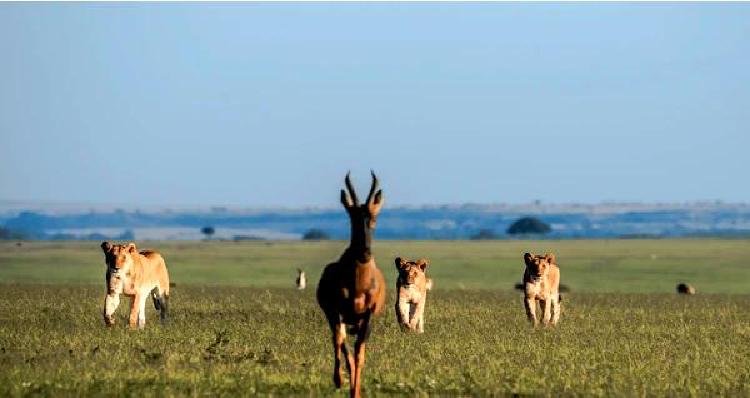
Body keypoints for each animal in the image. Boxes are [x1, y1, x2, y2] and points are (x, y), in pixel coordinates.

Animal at [318, 171, 388, 398]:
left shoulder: (367, 317)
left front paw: (355, 391)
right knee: (340, 342)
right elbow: (340, 343)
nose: (364, 254)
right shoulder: (336, 313)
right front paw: (338, 380)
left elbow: (359, 356)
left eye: (373, 217)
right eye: (352, 217)